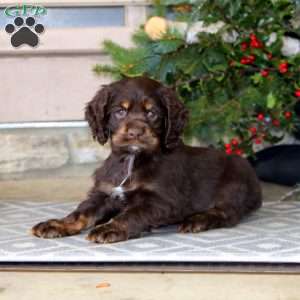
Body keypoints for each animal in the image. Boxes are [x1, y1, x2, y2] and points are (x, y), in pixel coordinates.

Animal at [31, 76, 262, 243]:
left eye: (152, 113)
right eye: (120, 111)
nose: (135, 132)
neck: (133, 159)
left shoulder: (162, 200)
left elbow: (131, 213)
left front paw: (110, 228)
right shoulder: (104, 193)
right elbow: (81, 213)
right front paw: (57, 224)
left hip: (233, 185)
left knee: (227, 213)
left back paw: (198, 220)